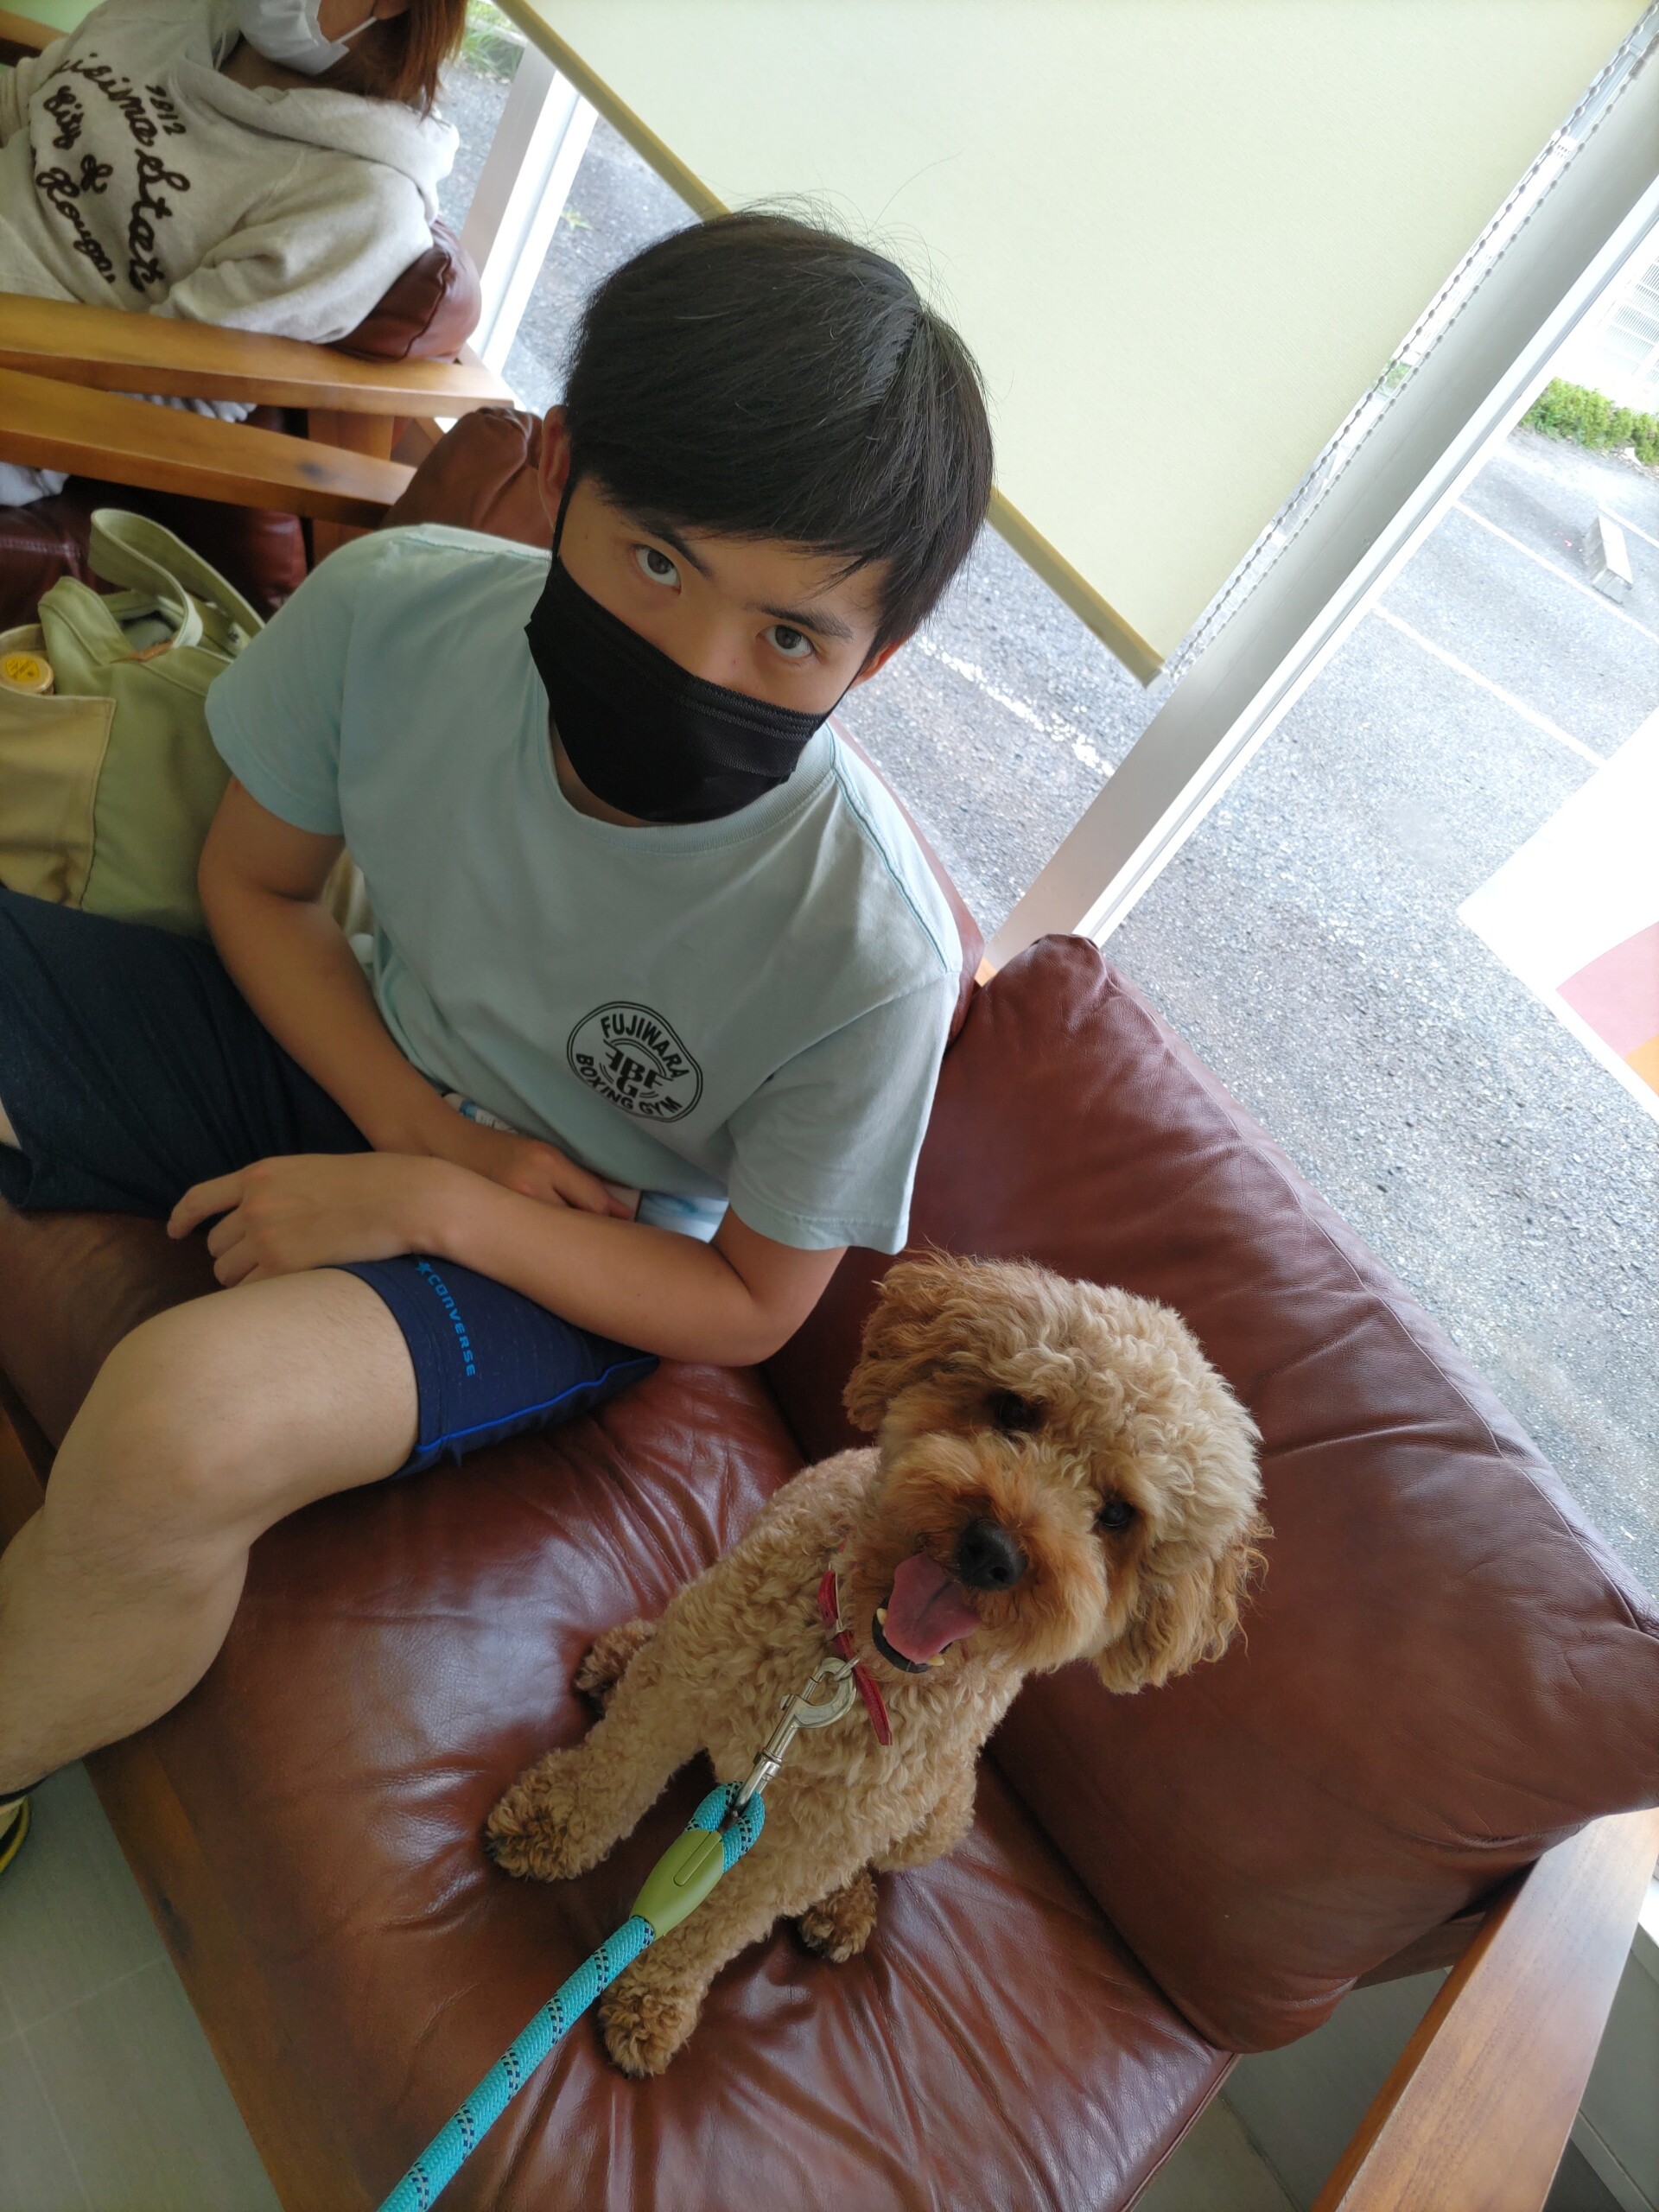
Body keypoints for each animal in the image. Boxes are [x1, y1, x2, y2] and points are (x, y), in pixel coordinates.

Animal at [485, 1254, 1266, 2077]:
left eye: (1119, 1515)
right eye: (1015, 1409)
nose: (994, 1551)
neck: (849, 1663)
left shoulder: (811, 1839)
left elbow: (718, 1924)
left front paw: (656, 2000)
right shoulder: (681, 1686)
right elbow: (609, 1779)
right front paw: (547, 1829)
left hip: (935, 1821)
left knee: (868, 1867)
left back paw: (844, 1907)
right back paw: (619, 1658)